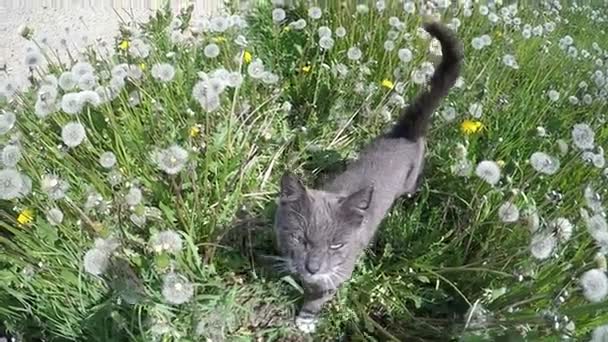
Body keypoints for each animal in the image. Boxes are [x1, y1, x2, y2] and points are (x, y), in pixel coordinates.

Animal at [274, 22, 464, 334]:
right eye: (300, 238)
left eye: (337, 245)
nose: (313, 267)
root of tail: (405, 133)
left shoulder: (340, 271)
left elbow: (319, 295)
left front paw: (306, 319)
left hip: (411, 179)